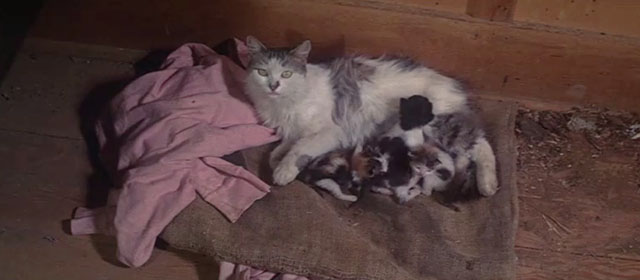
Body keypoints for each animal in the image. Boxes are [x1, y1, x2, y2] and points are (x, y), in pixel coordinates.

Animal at [242, 36, 498, 197]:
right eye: (262, 72)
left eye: (286, 74)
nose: (273, 85)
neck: (283, 104)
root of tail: (453, 84)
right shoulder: (292, 131)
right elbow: (278, 151)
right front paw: (277, 160)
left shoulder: (329, 131)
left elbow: (298, 150)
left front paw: (283, 172)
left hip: (439, 123)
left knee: (481, 144)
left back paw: (488, 184)